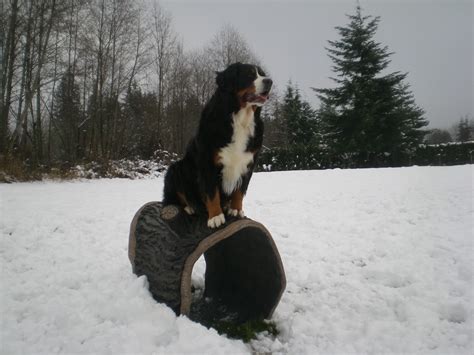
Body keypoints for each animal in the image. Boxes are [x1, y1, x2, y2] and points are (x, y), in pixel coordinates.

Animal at [164, 62, 272, 229]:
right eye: (249, 75)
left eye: (262, 74)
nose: (269, 81)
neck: (240, 119)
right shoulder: (207, 160)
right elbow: (211, 191)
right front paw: (215, 216)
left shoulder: (249, 162)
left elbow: (240, 190)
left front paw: (236, 209)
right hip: (176, 169)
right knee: (173, 198)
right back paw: (189, 207)